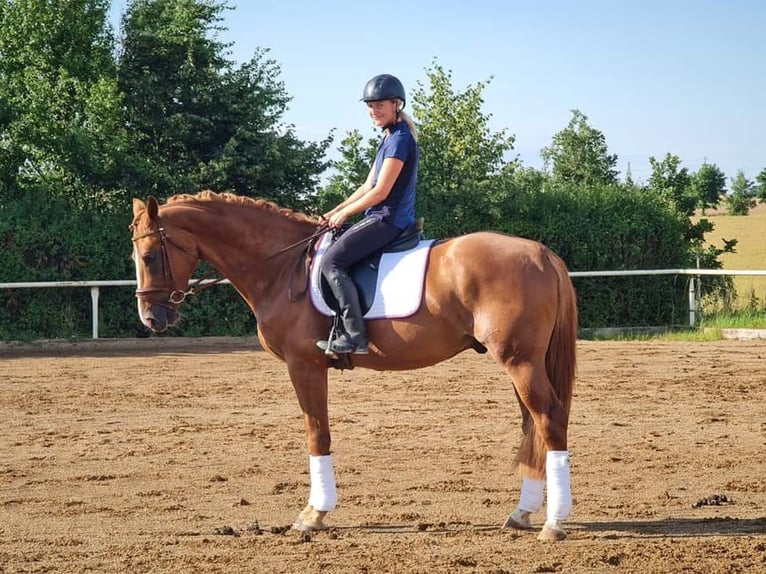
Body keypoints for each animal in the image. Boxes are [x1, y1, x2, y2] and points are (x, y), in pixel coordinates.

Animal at [129, 191, 578, 541]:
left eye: (149, 256)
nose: (151, 319)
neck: (281, 268)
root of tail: (540, 253)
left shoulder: (305, 365)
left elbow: (317, 434)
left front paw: (313, 515)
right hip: (520, 362)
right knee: (532, 425)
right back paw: (522, 513)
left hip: (520, 362)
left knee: (549, 420)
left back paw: (553, 523)